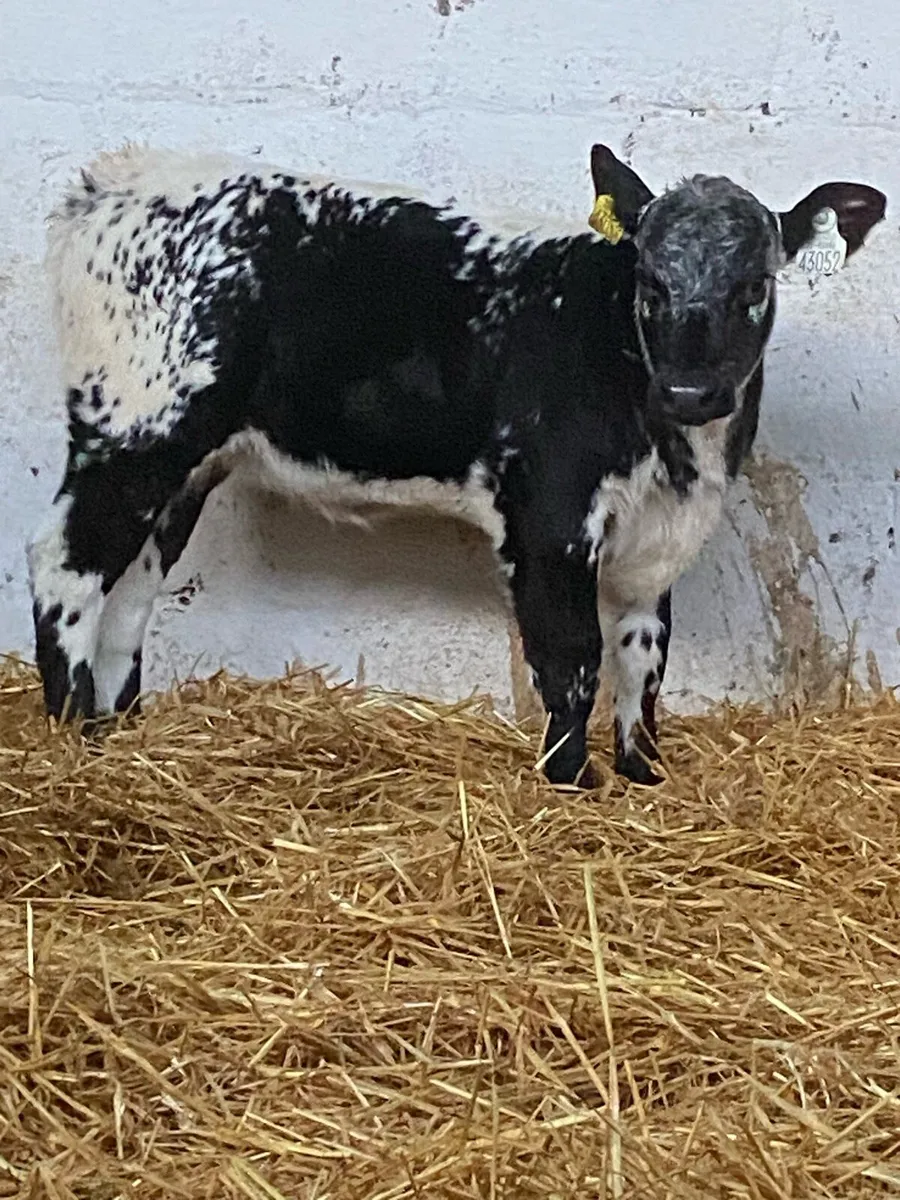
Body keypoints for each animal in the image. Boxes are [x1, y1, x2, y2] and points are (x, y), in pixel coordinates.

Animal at [26, 142, 885, 788]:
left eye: (756, 284)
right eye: (650, 280)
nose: (690, 389)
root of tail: (116, 181)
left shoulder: (654, 536)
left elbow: (644, 656)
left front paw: (642, 776)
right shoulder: (548, 516)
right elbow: (572, 659)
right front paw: (570, 784)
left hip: (187, 463)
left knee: (132, 591)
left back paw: (119, 736)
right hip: (132, 429)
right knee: (64, 567)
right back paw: (68, 739)